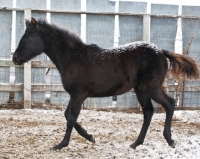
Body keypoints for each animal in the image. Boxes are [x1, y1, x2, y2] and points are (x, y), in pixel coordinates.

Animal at [12, 17, 198, 150]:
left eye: (28, 37)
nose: (15, 58)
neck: (73, 57)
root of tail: (161, 51)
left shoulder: (78, 94)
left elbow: (71, 117)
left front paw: (61, 144)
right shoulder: (75, 94)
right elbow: (67, 115)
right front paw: (90, 136)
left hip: (151, 87)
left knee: (169, 104)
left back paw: (170, 140)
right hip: (141, 90)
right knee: (148, 112)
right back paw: (136, 143)